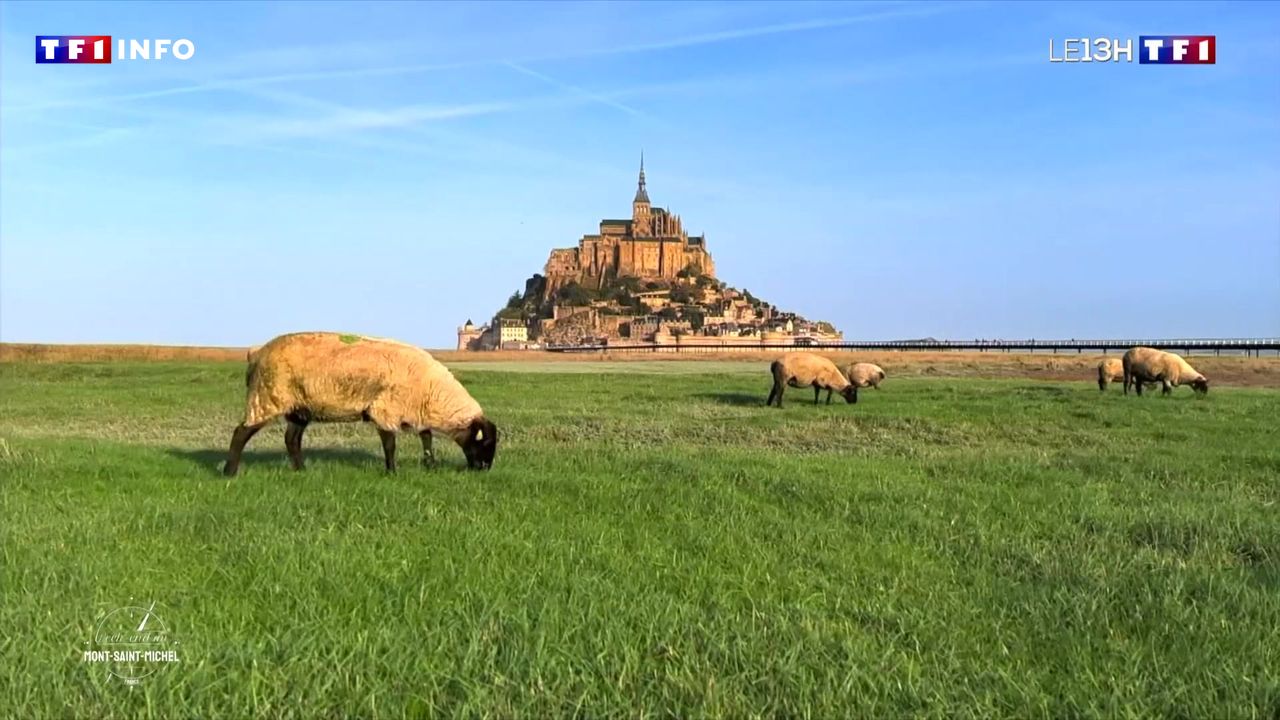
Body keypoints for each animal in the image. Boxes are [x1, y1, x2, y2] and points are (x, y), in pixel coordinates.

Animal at [225, 333, 494, 476]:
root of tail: (257, 352)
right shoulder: (386, 409)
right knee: (241, 432)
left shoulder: (414, 411)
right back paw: (229, 471)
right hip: (266, 397)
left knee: (291, 439)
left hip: (299, 408)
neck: (432, 392)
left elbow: (426, 438)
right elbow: (390, 444)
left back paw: (301, 470)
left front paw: (430, 464)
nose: (485, 469)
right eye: (485, 443)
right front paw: (392, 472)